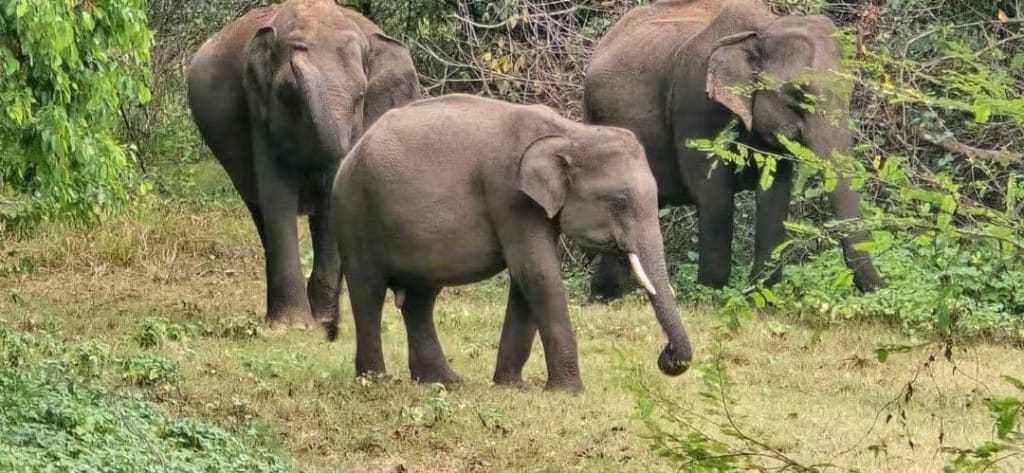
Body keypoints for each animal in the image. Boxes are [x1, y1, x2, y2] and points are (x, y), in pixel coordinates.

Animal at [187, 0, 420, 325]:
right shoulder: (259, 111)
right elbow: (277, 195)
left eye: (360, 97)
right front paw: (293, 323)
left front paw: (321, 321)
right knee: (260, 212)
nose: (296, 49)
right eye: (288, 94)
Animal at [326, 94, 693, 392]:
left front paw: (512, 386)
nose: (666, 356)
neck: (571, 133)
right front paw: (569, 392)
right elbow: (538, 273)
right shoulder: (509, 196)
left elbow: (526, 279)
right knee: (368, 292)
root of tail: (352, 153)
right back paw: (376, 380)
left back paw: (442, 381)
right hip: (354, 212)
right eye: (620, 201)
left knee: (420, 300)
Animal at [583, 0, 884, 301]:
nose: (879, 287)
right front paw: (712, 294)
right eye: (797, 94)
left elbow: (775, 192)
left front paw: (761, 295)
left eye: (850, 90)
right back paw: (606, 295)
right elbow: (713, 193)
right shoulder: (695, 102)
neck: (766, 27)